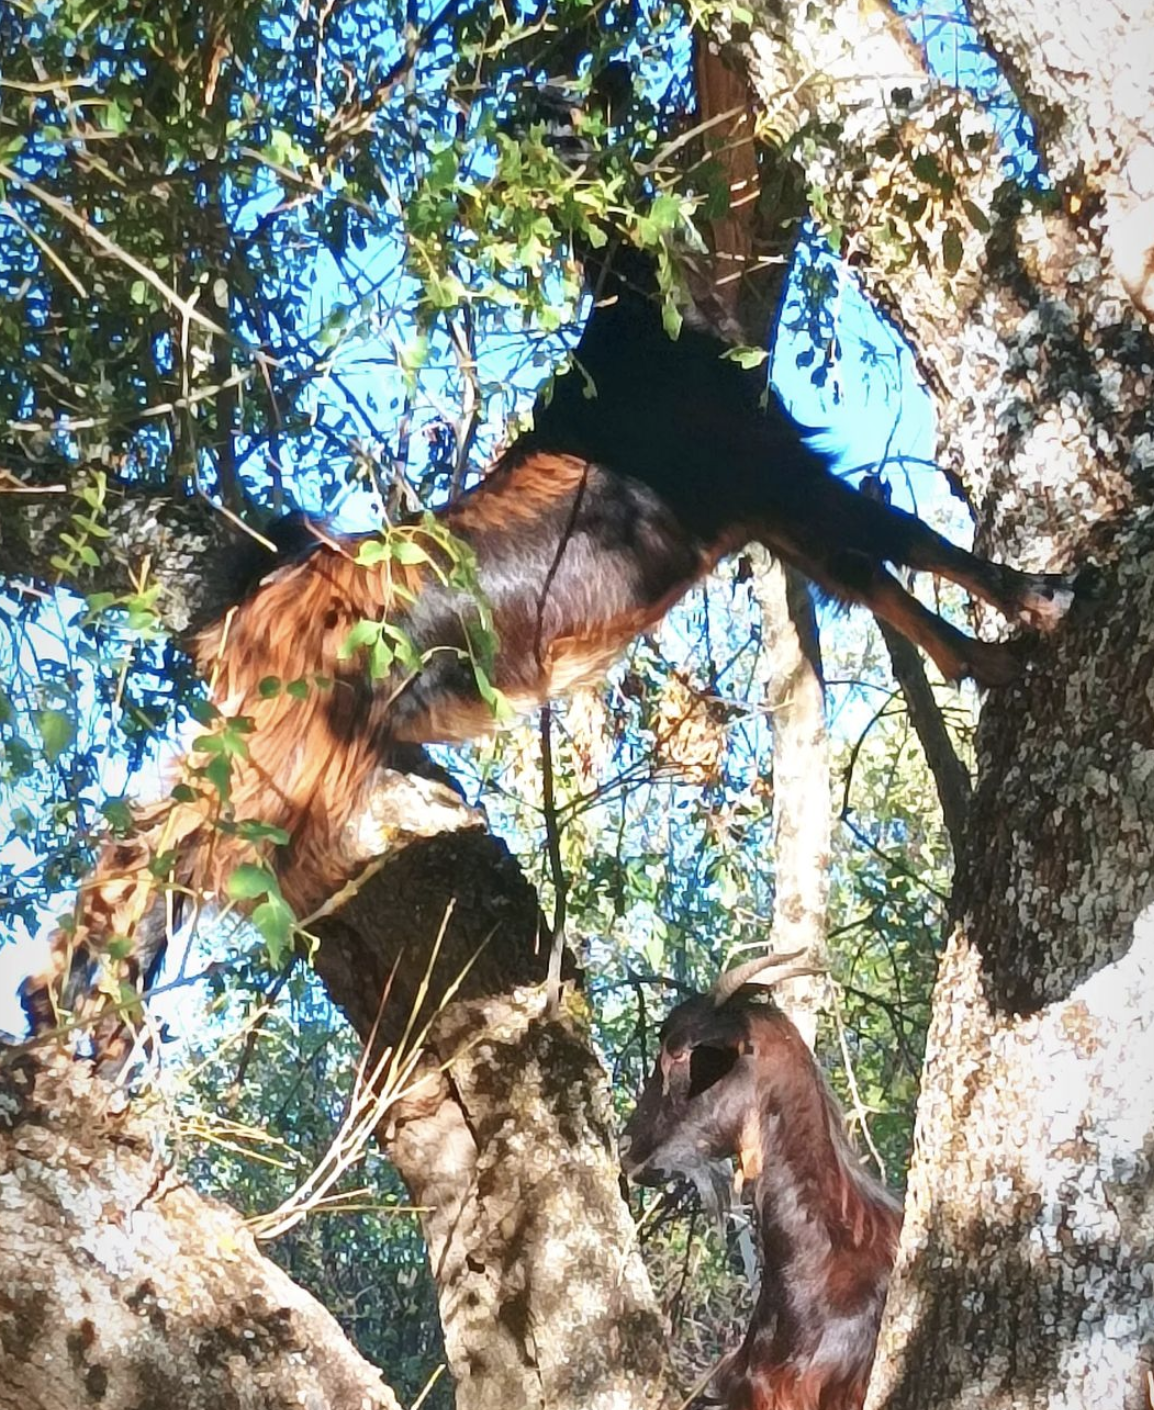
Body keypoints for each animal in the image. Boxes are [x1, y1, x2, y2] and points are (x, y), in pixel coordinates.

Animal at [22, 245, 1072, 1049]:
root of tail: (265, 603)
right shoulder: (771, 479)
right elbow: (909, 545)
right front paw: (1034, 609)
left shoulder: (763, 508)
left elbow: (880, 579)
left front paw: (986, 656)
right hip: (293, 748)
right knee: (161, 838)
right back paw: (75, 987)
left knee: (159, 832)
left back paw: (78, 990)